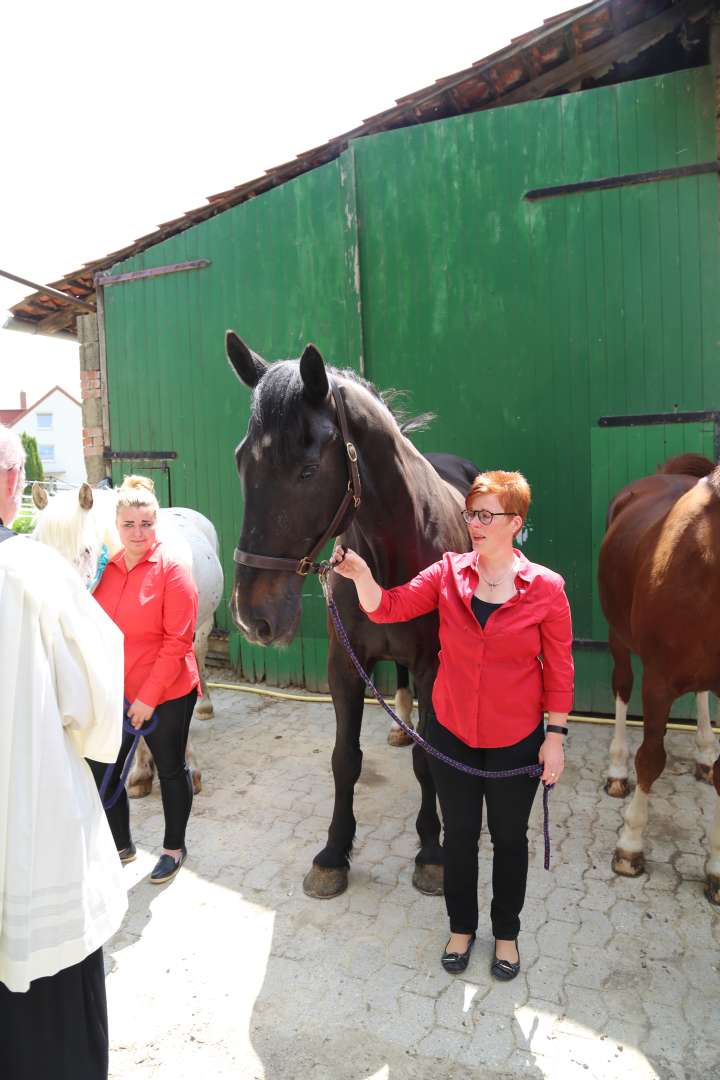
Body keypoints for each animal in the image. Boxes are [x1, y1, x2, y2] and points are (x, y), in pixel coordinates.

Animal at [595, 449, 720, 902]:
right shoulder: (659, 681)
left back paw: (704, 751)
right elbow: (650, 759)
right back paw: (617, 771)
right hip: (617, 634)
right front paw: (630, 846)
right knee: (621, 686)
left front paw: (716, 867)